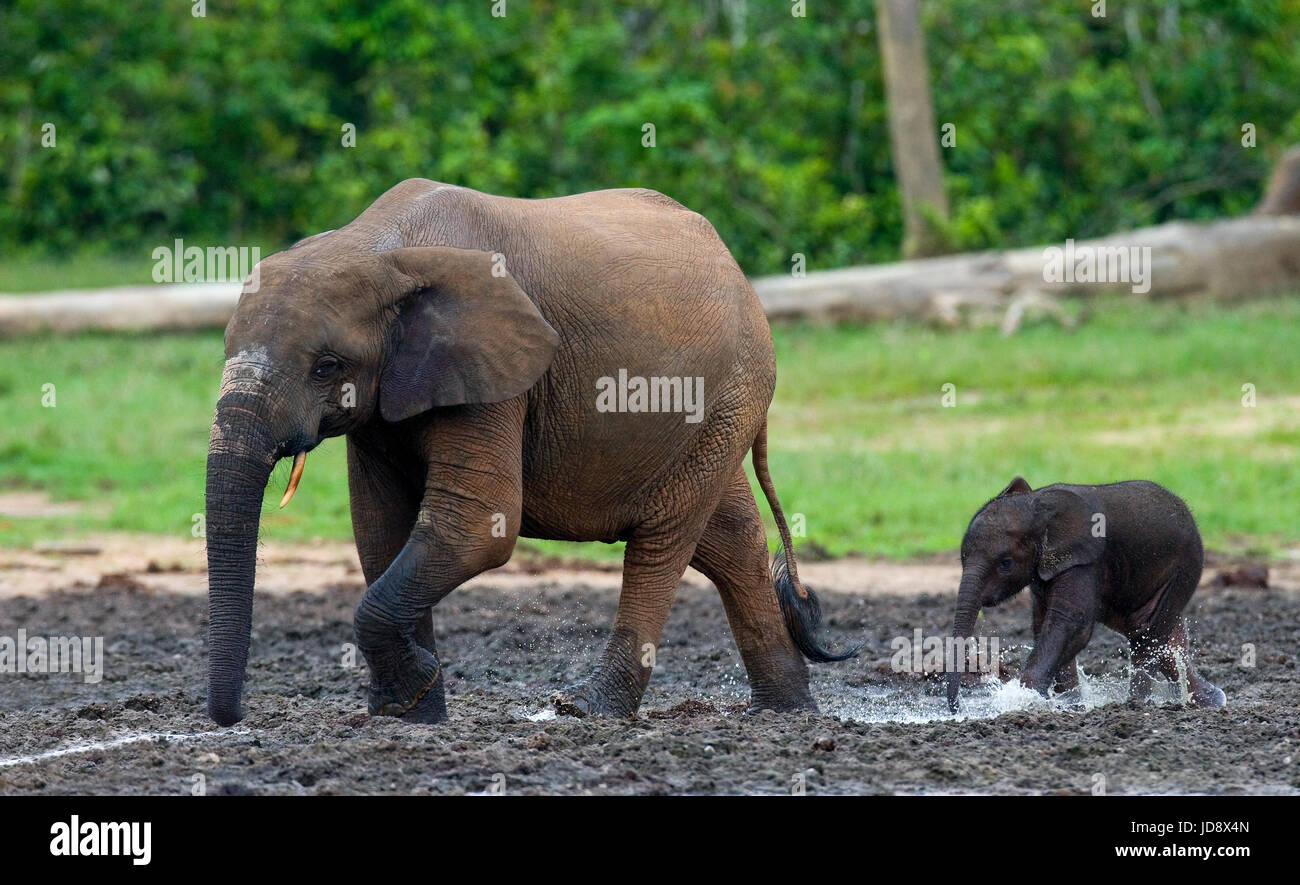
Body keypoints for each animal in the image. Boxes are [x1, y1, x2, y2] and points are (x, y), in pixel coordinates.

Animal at [205, 179, 856, 727]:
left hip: (729, 393)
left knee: (664, 540)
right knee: (728, 537)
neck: (377, 248)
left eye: (326, 367)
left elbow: (476, 527)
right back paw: (787, 712)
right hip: (712, 413)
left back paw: (588, 709)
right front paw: (415, 715)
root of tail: (737, 270)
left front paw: (410, 691)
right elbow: (380, 529)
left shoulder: (496, 372)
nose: (232, 720)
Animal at [946, 476, 1225, 712]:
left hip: (1185, 567)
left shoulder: (1086, 560)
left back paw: (1136, 704)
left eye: (1005, 564)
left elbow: (1070, 623)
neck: (1039, 505)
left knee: (1148, 633)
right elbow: (1044, 624)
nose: (957, 709)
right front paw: (1070, 705)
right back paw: (1210, 700)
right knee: (1162, 638)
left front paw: (1027, 699)